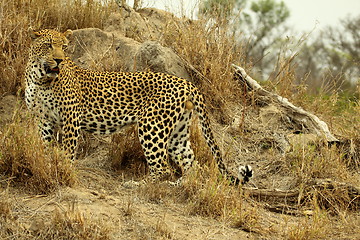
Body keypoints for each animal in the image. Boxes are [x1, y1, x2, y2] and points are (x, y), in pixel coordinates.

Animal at [23, 29, 253, 185]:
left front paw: (65, 170)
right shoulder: (43, 119)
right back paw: (181, 185)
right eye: (48, 45)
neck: (40, 78)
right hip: (177, 132)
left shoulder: (71, 119)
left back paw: (138, 185)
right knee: (191, 164)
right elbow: (43, 145)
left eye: (64, 47)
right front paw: (47, 163)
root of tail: (187, 83)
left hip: (152, 126)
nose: (59, 60)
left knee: (162, 168)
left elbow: (69, 151)